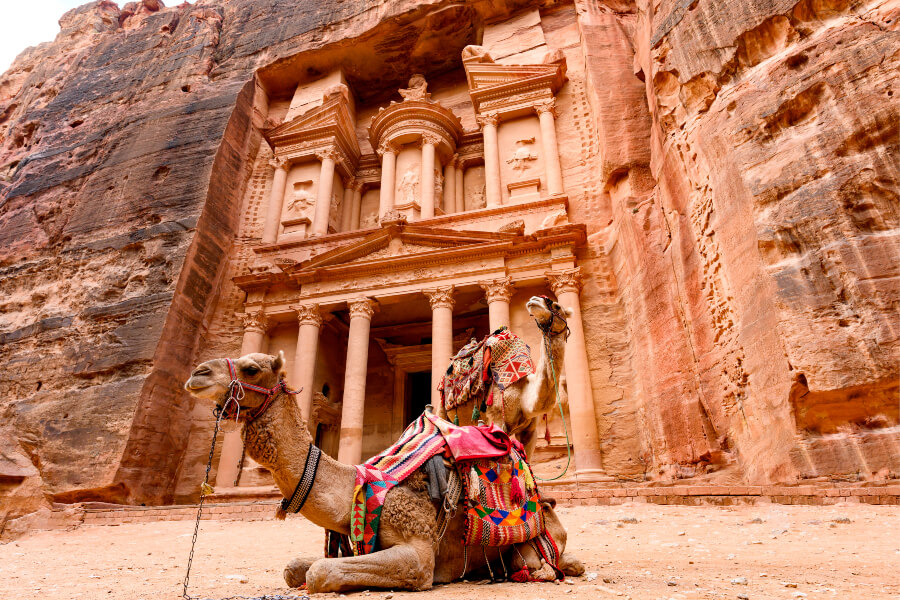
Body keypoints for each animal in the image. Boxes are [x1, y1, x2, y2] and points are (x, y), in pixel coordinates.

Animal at [184, 351, 583, 593]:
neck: (358, 486)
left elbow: (319, 572)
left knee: (543, 563)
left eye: (252, 368)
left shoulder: (419, 551)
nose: (197, 373)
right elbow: (296, 567)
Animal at [436, 295, 572, 459]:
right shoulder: (497, 418)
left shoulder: (530, 431)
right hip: (443, 405)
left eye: (557, 306)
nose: (534, 300)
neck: (524, 394)